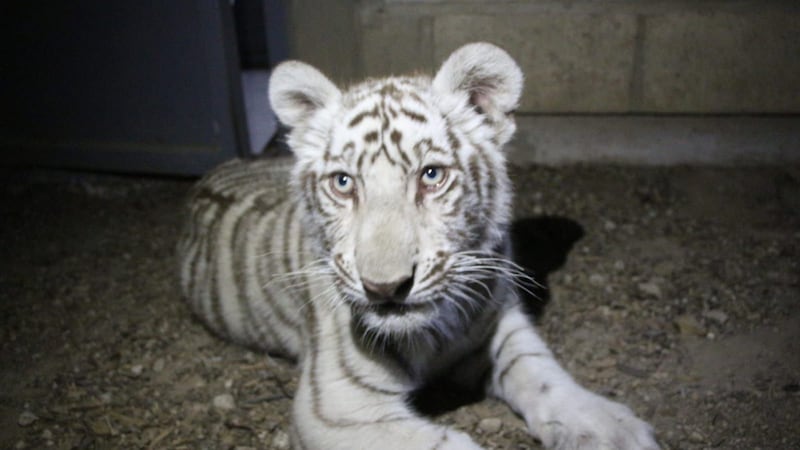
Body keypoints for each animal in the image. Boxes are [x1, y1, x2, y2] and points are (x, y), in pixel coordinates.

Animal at [177, 42, 659, 449]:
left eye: (431, 175)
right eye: (343, 182)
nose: (384, 288)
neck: (434, 332)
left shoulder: (501, 326)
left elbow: (544, 375)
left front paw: (607, 428)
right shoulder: (338, 408)